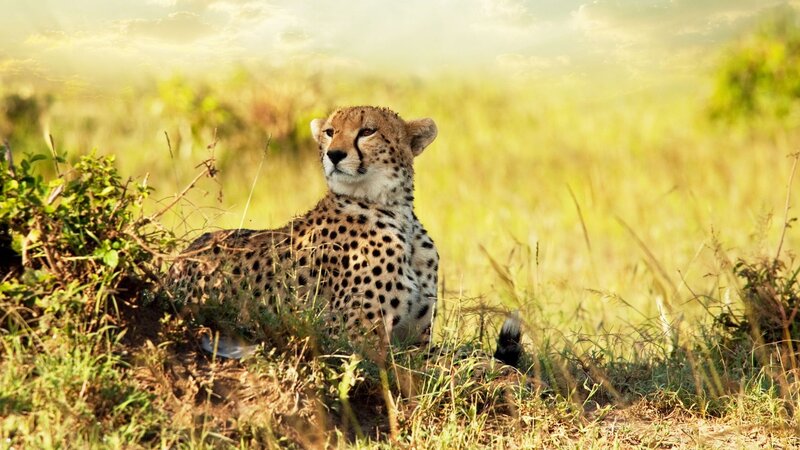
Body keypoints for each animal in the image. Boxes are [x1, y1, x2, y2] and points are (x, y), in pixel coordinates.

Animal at [166, 106, 441, 361]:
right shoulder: (352, 340)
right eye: (330, 132)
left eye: (367, 131)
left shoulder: (417, 339)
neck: (395, 212)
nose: (334, 154)